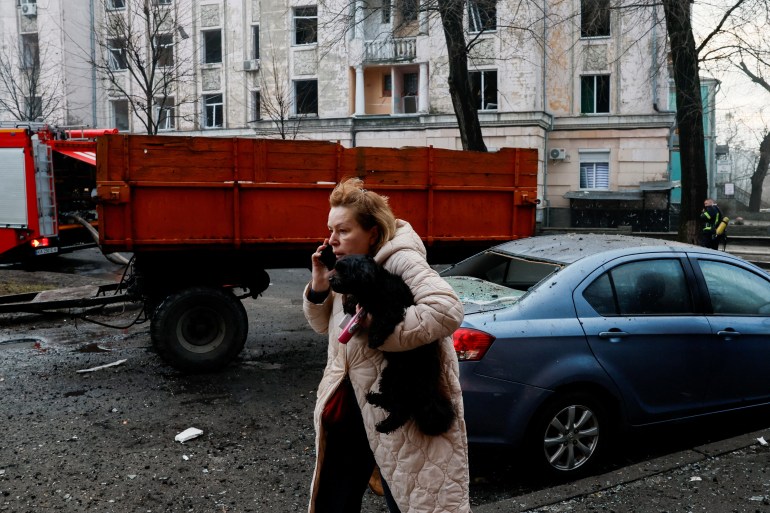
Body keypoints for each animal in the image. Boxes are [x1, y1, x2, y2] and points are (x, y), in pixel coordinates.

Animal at [328, 254, 452, 434]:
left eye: (343, 271)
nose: (329, 279)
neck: (375, 286)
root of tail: (429, 388)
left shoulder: (392, 309)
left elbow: (382, 320)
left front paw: (374, 338)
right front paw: (350, 304)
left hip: (402, 382)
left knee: (401, 410)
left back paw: (385, 425)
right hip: (389, 376)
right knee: (391, 400)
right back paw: (376, 398)